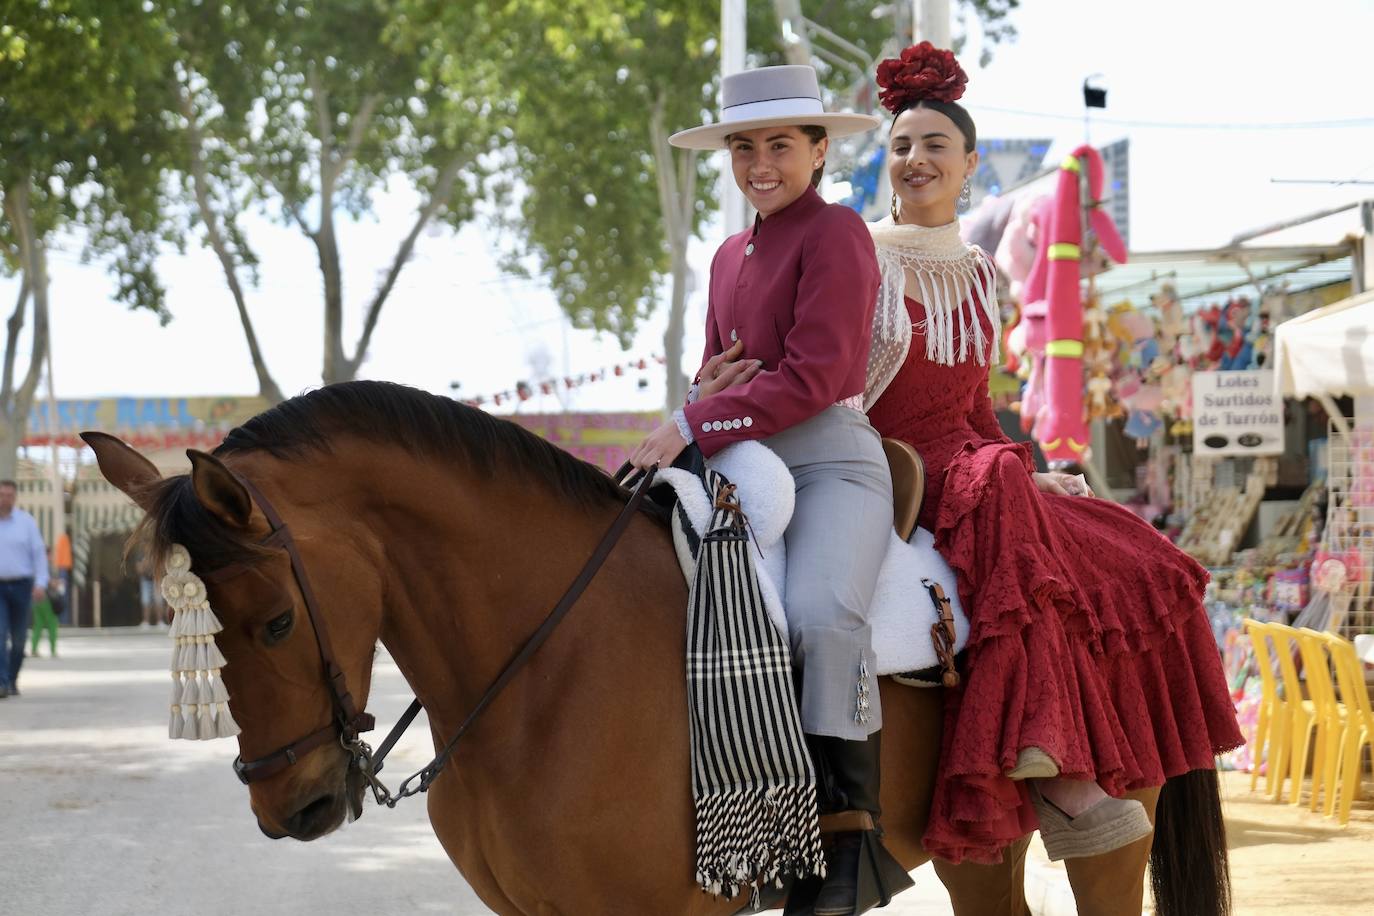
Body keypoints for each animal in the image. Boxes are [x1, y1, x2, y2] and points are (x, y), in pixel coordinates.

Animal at [80, 379, 1231, 916]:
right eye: (200, 629)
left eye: (276, 619)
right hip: (973, 836)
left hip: (1095, 816)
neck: (542, 666)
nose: (293, 806)